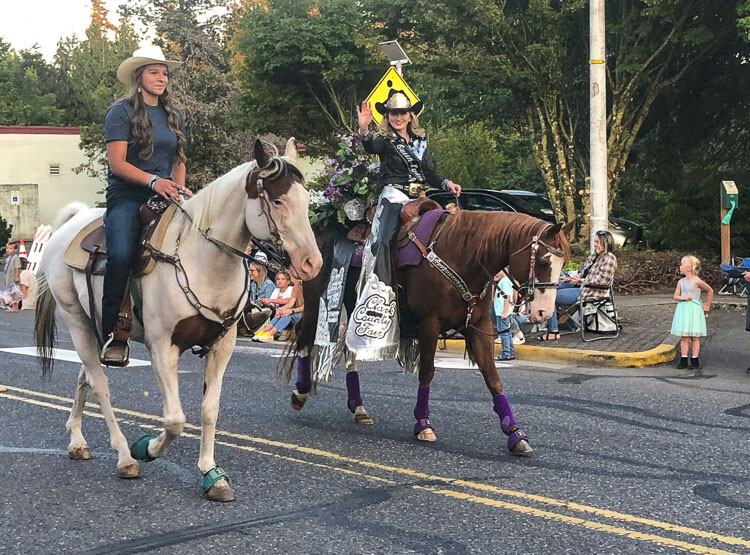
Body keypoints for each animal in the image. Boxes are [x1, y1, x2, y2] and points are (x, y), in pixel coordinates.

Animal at [36, 138, 324, 500]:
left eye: (307, 199)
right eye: (277, 200)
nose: (312, 263)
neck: (201, 259)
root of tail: (72, 223)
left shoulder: (222, 346)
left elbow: (209, 409)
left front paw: (212, 474)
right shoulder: (163, 348)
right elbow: (174, 419)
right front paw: (146, 448)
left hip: (94, 324)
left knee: (84, 377)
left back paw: (76, 440)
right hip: (76, 320)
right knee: (99, 384)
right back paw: (124, 457)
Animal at [284, 212, 572, 456]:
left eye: (563, 264)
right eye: (544, 262)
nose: (543, 313)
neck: (463, 255)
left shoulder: (480, 327)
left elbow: (492, 377)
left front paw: (515, 433)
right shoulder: (429, 324)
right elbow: (427, 371)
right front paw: (423, 423)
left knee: (348, 351)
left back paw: (358, 407)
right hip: (316, 301)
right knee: (304, 338)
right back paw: (301, 392)